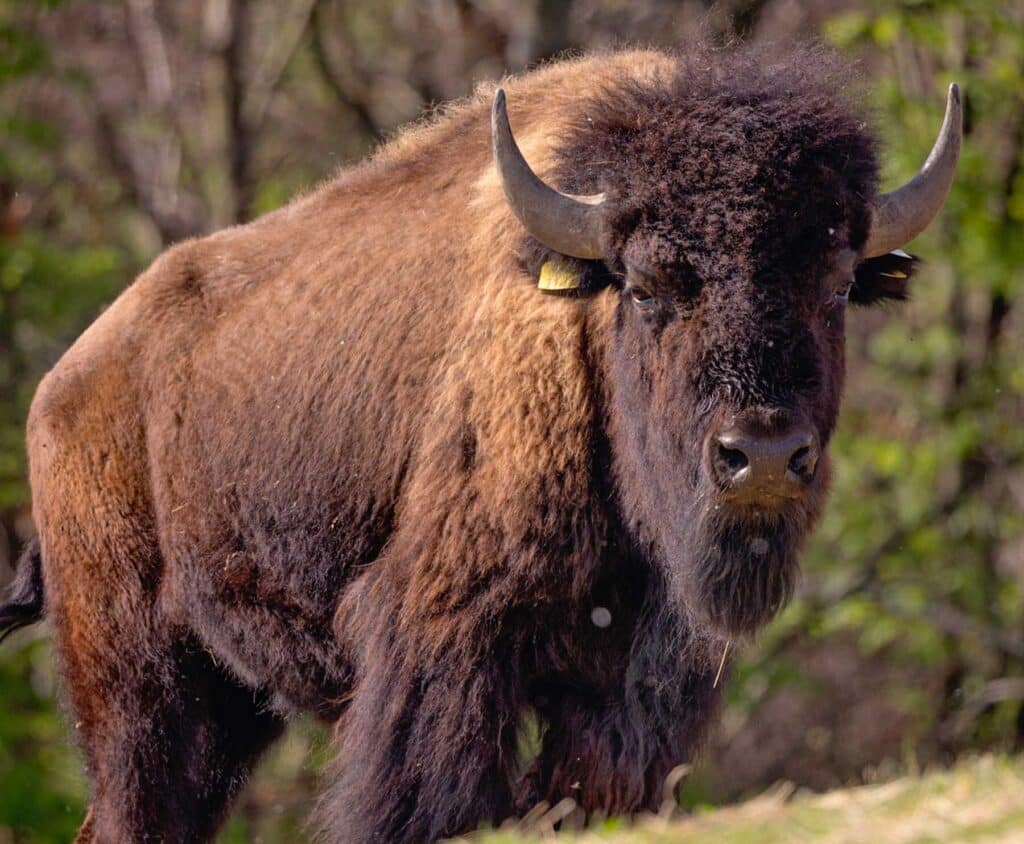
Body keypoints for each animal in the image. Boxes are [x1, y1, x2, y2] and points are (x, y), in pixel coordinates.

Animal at [0, 46, 960, 843]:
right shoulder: (446, 640)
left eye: (835, 282)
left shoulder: (635, 679)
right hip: (138, 684)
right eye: (649, 285)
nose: (760, 458)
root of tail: (62, 386)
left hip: (228, 699)